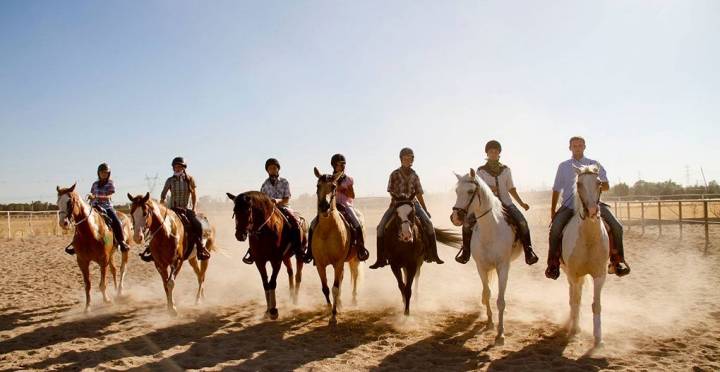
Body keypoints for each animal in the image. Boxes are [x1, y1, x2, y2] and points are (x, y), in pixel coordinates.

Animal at [225, 192, 304, 320]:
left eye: (248, 210)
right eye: (235, 210)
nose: (239, 235)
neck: (265, 232)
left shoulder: (276, 261)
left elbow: (272, 282)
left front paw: (274, 311)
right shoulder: (260, 262)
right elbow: (266, 284)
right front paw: (267, 310)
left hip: (299, 256)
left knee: (298, 276)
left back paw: (295, 301)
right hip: (286, 257)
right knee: (290, 272)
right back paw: (291, 296)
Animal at [310, 167, 360, 324]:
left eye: (333, 187)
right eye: (317, 186)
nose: (324, 207)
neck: (327, 230)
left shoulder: (338, 263)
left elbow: (335, 288)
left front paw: (333, 316)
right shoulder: (320, 264)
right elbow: (326, 288)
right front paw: (329, 308)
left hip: (354, 259)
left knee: (355, 276)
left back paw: (353, 299)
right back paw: (340, 303)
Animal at [452, 169, 520, 346]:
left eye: (470, 191)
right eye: (456, 191)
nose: (455, 217)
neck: (490, 230)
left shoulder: (503, 267)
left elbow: (501, 301)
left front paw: (500, 334)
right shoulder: (481, 267)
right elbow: (488, 293)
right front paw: (490, 322)